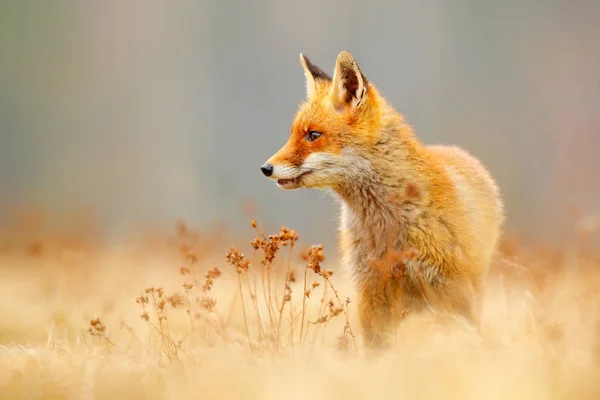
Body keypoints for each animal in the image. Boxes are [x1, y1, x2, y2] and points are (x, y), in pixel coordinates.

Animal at [260, 50, 504, 346]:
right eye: (293, 134)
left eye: (313, 135)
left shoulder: (451, 287)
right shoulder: (371, 288)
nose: (265, 168)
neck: (384, 226)